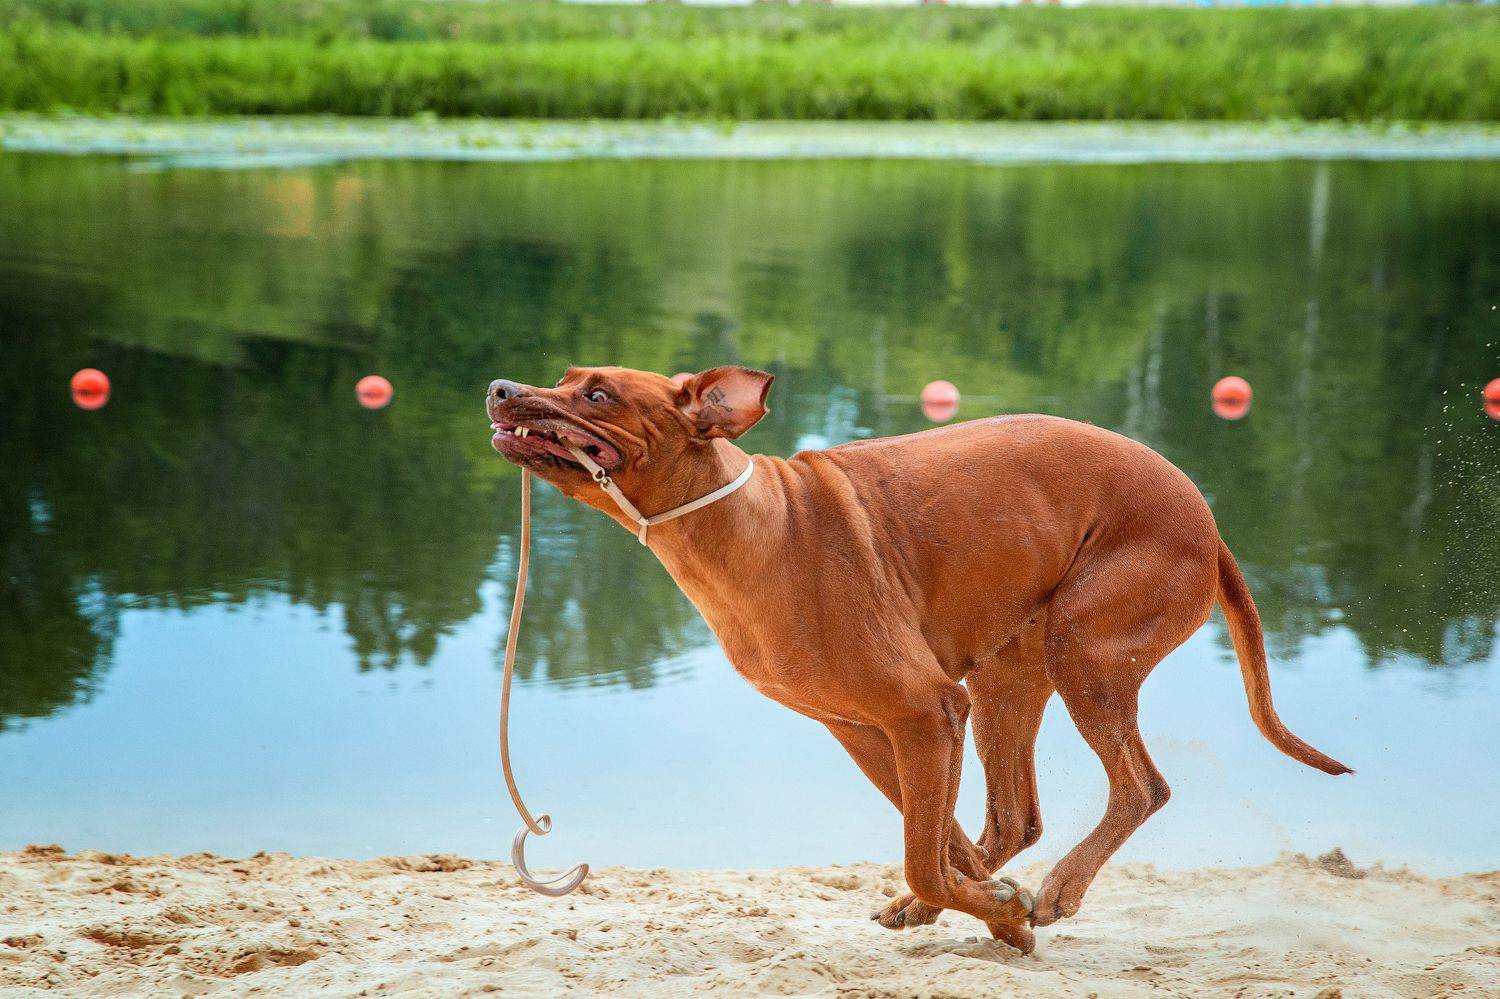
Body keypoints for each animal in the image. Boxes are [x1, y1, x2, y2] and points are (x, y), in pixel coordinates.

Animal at [486, 364, 1351, 953]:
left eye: (598, 395)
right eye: (561, 377)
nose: (499, 387)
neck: (747, 523)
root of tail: (1207, 521)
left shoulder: (925, 711)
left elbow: (927, 854)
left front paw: (1002, 910)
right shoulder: (870, 726)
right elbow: (937, 840)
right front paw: (992, 908)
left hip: (1084, 651)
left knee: (1140, 788)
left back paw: (1059, 888)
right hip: (1006, 677)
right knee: (1014, 814)